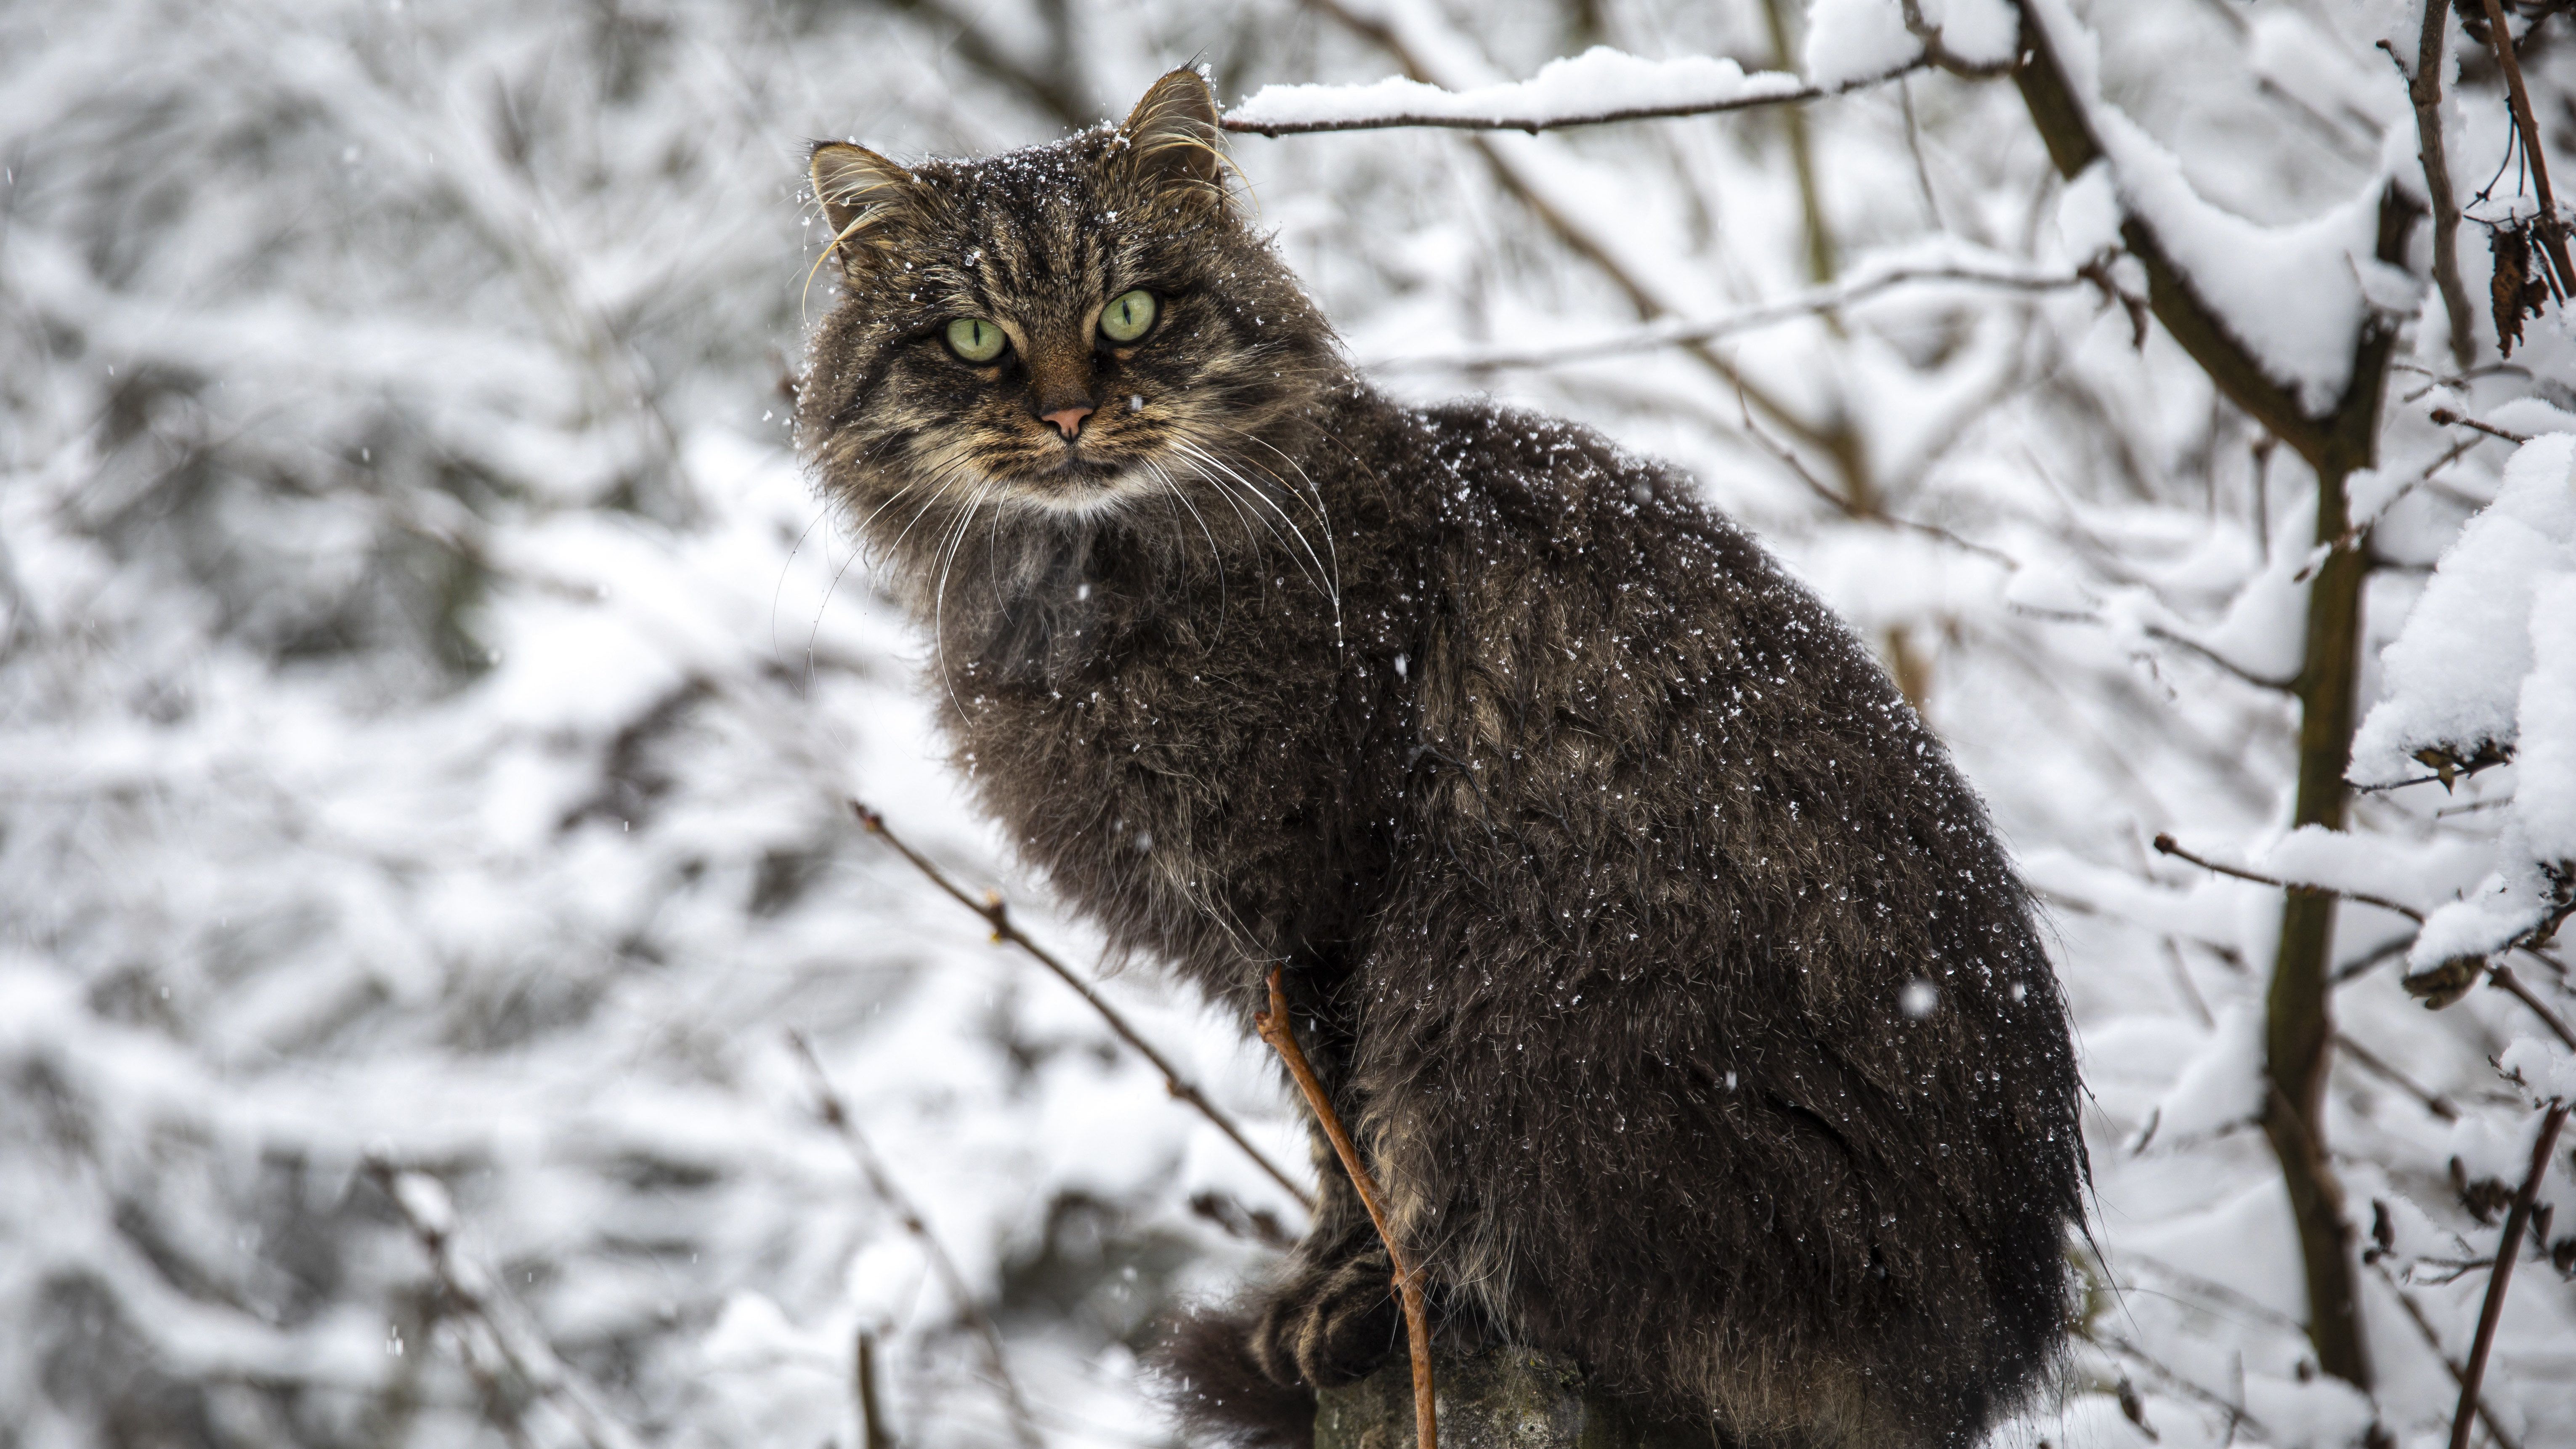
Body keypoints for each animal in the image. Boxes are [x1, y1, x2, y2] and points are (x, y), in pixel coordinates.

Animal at [804, 64, 2092, 1433]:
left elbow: (1350, 1152)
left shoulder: (1317, 914)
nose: (1066, 411)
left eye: (1133, 311)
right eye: (971, 338)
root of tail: (1976, 1360)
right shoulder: (1254, 946)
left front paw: (1341, 1289)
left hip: (1514, 978)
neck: (1076, 598)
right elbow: (1335, 1141)